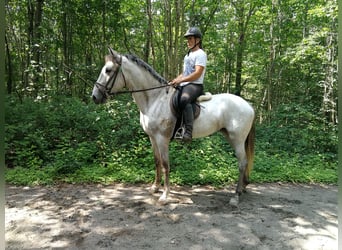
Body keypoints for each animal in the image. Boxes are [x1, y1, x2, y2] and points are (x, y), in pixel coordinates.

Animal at [92, 47, 255, 206]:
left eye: (108, 70)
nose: (95, 96)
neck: (154, 99)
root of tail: (248, 105)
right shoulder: (152, 137)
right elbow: (157, 161)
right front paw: (155, 187)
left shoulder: (162, 138)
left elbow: (165, 165)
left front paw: (165, 195)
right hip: (230, 136)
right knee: (244, 162)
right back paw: (243, 188)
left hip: (237, 140)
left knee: (242, 163)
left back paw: (236, 196)